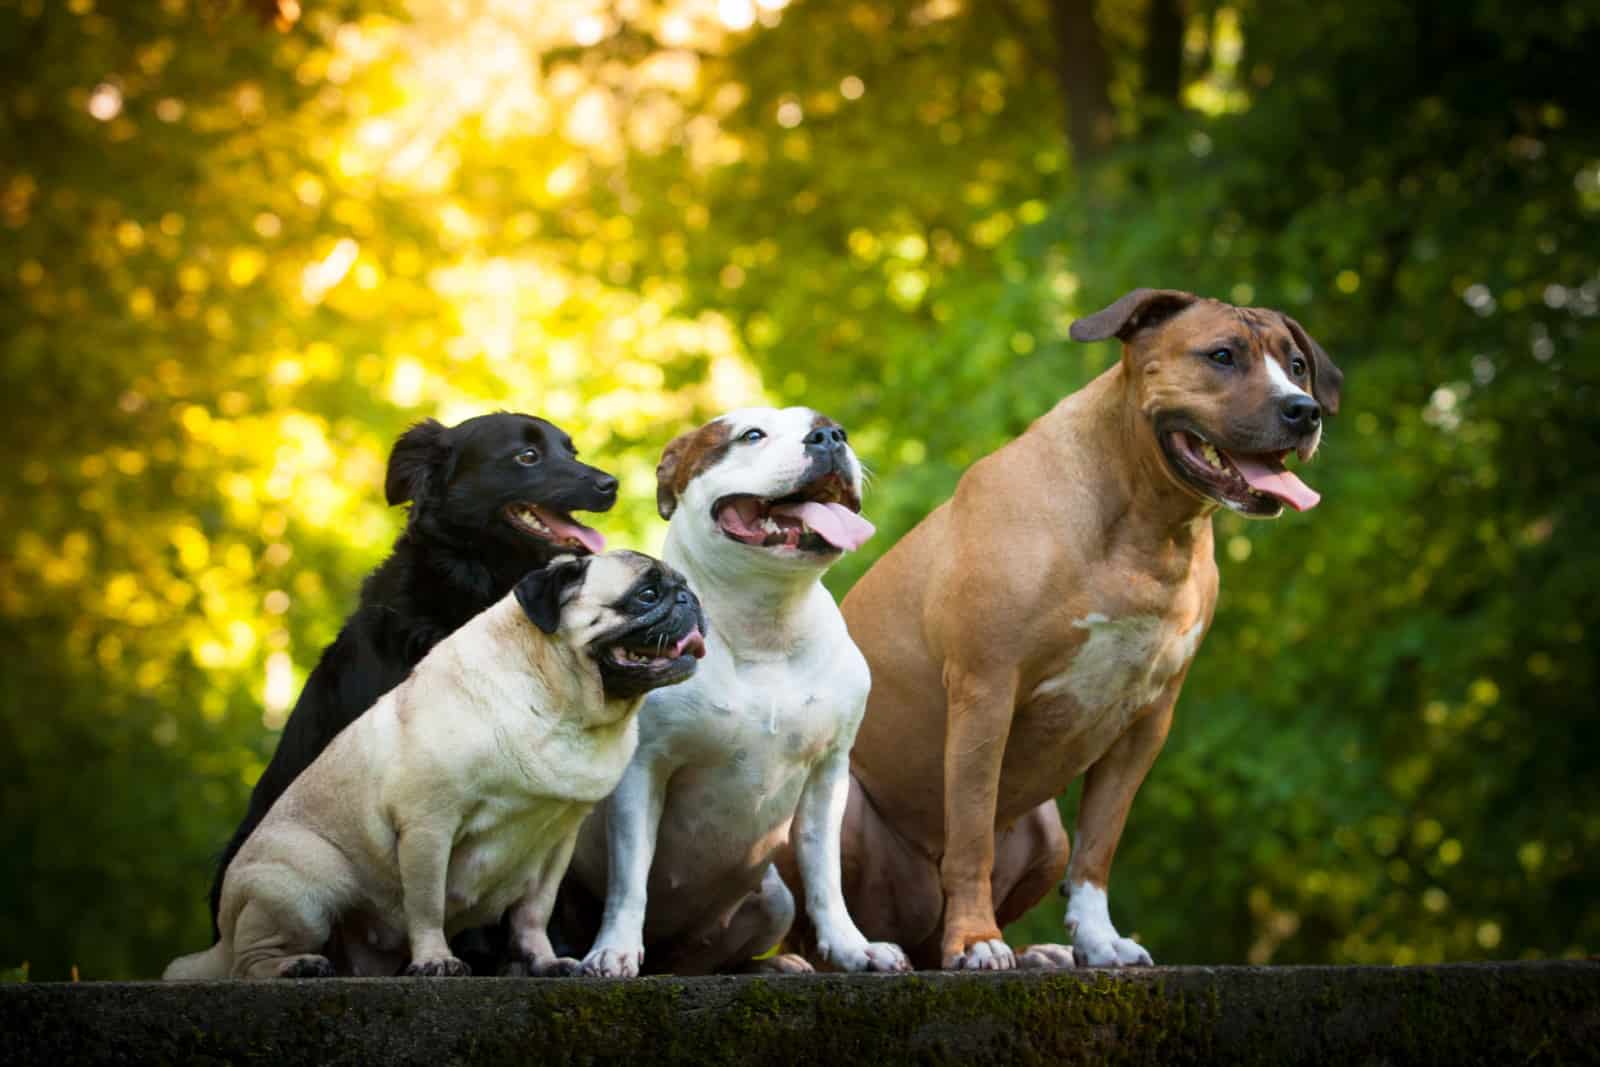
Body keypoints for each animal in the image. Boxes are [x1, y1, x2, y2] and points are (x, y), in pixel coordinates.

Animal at [164, 556, 707, 979]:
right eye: (647, 594)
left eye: (682, 587)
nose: (690, 598)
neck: (563, 705)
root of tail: (224, 936)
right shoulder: (429, 824)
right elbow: (426, 904)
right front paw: (434, 960)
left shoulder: (557, 841)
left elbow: (533, 913)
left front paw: (544, 961)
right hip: (305, 886)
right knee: (249, 962)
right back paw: (295, 966)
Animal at [569, 409, 908, 979]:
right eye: (751, 435)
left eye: (830, 426)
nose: (830, 437)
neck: (766, 622)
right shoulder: (642, 771)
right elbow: (630, 876)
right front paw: (613, 949)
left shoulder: (828, 774)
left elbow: (825, 874)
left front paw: (852, 947)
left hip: (772, 899)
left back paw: (774, 965)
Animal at [806, 289, 1344, 966]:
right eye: (1221, 355)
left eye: (1297, 366)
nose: (1303, 411)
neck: (1149, 525)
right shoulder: (986, 691)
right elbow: (972, 833)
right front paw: (978, 941)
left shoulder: (1147, 720)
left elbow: (1099, 846)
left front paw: (1098, 940)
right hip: (836, 804)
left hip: (1045, 832)